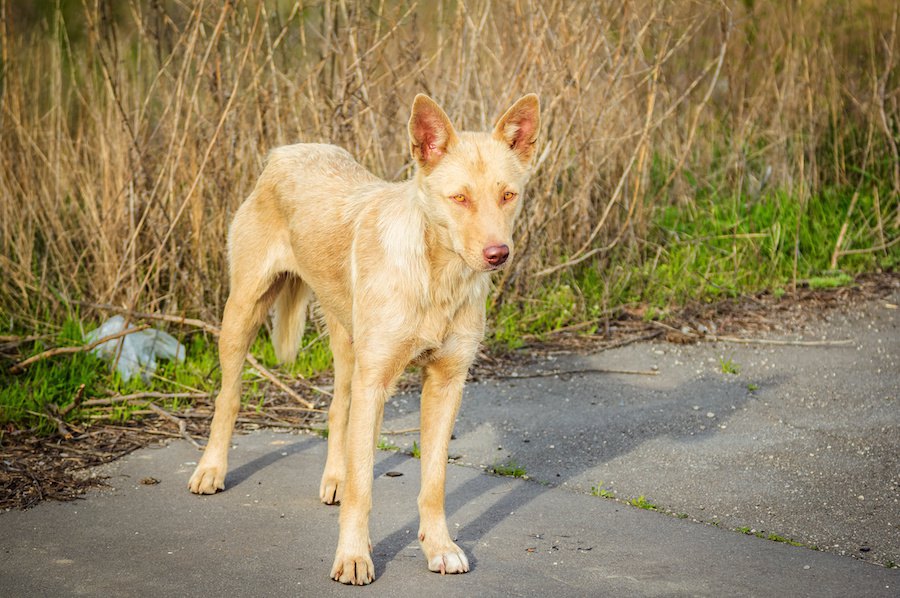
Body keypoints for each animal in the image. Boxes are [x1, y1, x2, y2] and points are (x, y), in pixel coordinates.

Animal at [188, 94, 540, 584]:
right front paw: (354, 556)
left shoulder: (446, 384)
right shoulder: (376, 383)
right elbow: (363, 488)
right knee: (229, 397)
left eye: (508, 195)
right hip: (243, 311)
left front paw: (439, 546)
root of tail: (290, 150)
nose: (497, 254)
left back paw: (334, 477)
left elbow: (434, 481)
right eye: (460, 198)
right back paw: (211, 469)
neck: (435, 276)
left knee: (339, 409)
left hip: (346, 339)